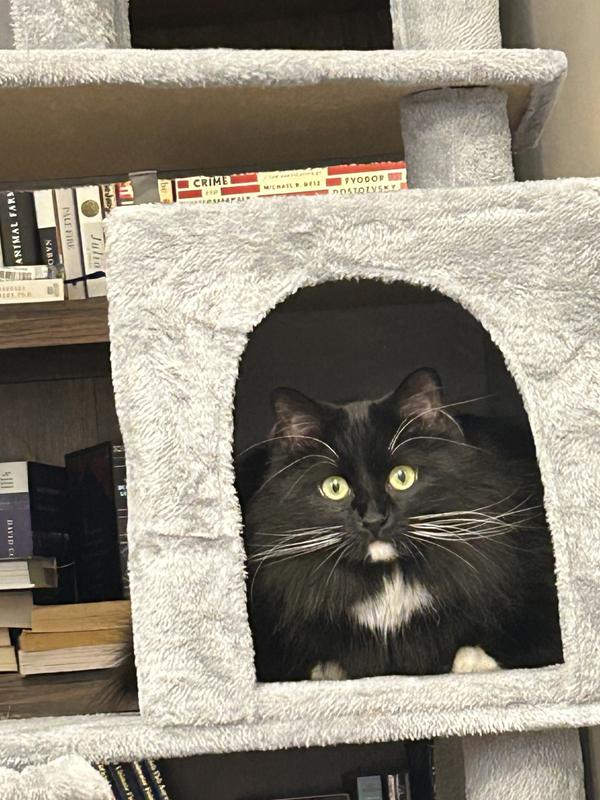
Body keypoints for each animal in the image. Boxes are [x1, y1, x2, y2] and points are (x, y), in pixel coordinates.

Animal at [239, 368, 563, 683]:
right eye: (334, 487)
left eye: (402, 477)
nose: (373, 520)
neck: (390, 578)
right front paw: (329, 670)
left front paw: (470, 660)